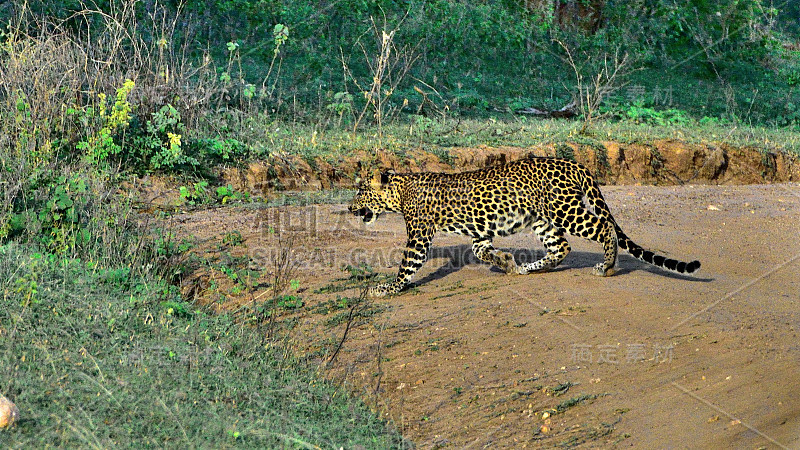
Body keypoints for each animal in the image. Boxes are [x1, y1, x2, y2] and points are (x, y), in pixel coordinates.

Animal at [350, 156, 700, 298]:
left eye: (360, 190)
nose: (351, 208)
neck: (399, 191)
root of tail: (573, 162)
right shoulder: (481, 232)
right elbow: (482, 251)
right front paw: (507, 263)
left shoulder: (419, 235)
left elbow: (407, 265)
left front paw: (388, 289)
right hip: (543, 219)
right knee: (561, 247)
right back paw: (529, 268)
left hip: (566, 211)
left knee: (604, 228)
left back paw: (607, 266)